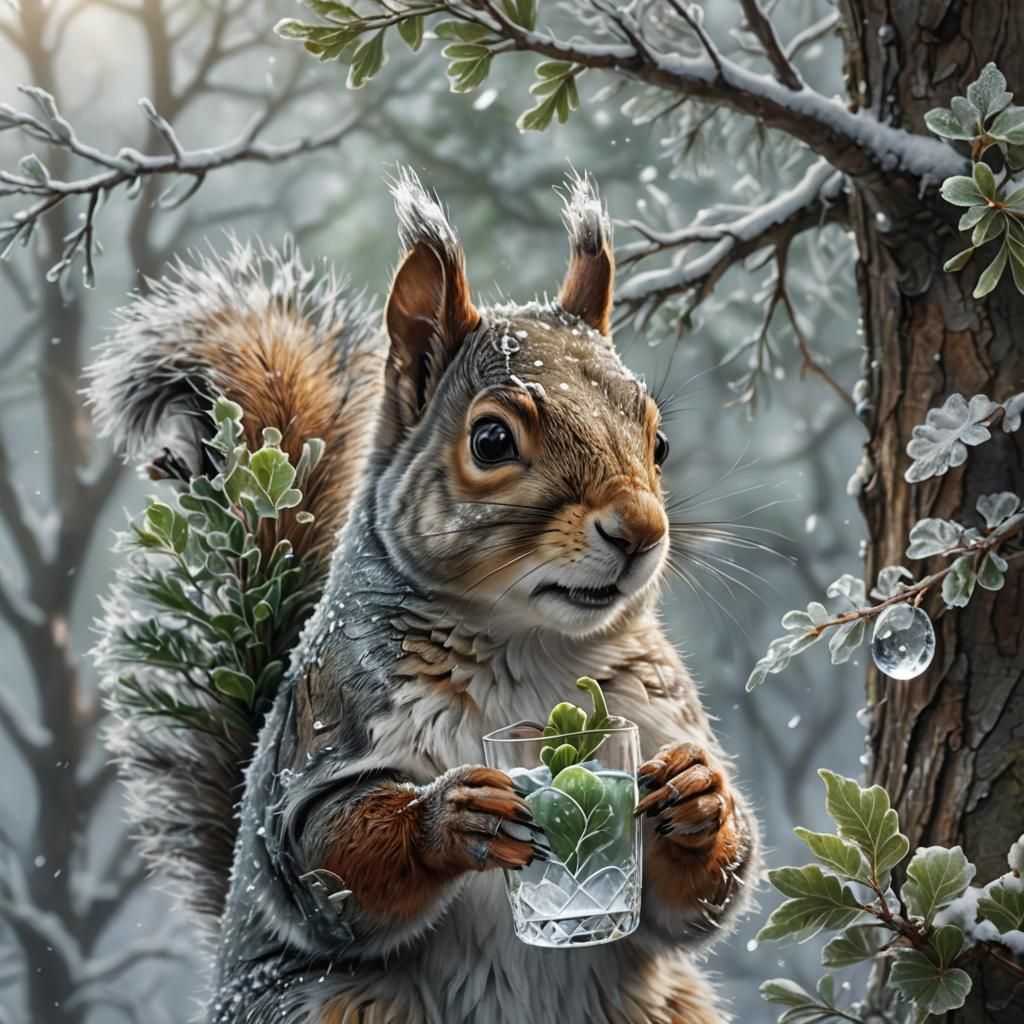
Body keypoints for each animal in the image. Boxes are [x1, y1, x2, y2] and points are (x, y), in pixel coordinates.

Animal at [87, 169, 759, 1024]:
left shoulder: (657, 711)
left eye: (659, 443)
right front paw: (448, 817)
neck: (528, 642)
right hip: (331, 1001)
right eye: (492, 440)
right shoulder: (326, 730)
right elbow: (328, 858)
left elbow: (702, 899)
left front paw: (698, 798)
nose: (640, 531)